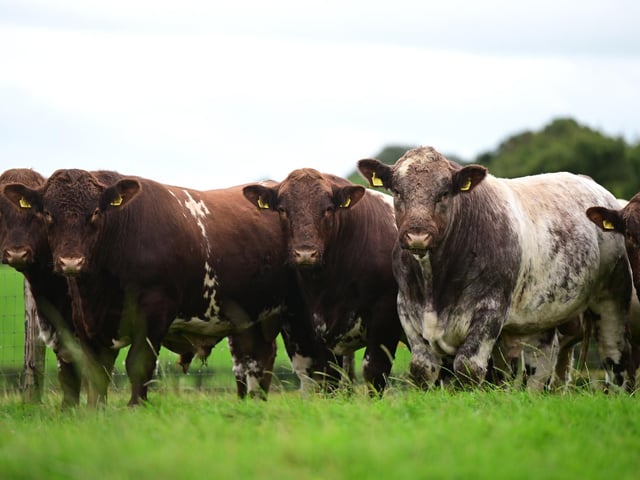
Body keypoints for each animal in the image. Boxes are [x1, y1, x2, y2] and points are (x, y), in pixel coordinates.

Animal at [3, 169, 294, 405]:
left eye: (95, 212)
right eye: (47, 214)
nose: (70, 261)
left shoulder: (154, 313)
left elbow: (138, 364)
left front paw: (136, 406)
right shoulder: (85, 322)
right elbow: (95, 371)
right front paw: (95, 410)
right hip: (251, 319)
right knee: (255, 359)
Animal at [243, 169, 403, 394]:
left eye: (327, 209)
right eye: (282, 209)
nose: (305, 253)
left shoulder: (384, 318)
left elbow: (374, 372)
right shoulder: (320, 327)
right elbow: (330, 377)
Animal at [358, 146, 634, 391]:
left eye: (444, 193)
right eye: (397, 191)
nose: (418, 236)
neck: (434, 286)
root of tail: (591, 184)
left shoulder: (490, 310)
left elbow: (468, 367)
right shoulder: (407, 309)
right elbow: (422, 369)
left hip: (612, 298)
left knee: (614, 356)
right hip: (542, 316)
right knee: (541, 366)